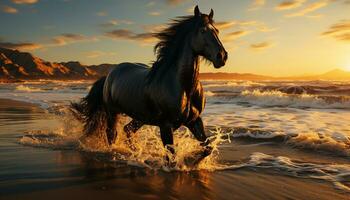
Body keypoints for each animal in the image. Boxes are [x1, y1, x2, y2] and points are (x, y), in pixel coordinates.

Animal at [72, 5, 228, 156]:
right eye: (203, 30)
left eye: (217, 31)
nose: (222, 56)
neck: (183, 87)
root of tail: (109, 74)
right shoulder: (165, 126)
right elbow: (171, 157)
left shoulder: (195, 121)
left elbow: (207, 148)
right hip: (112, 113)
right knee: (112, 134)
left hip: (140, 116)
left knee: (127, 129)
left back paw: (135, 152)